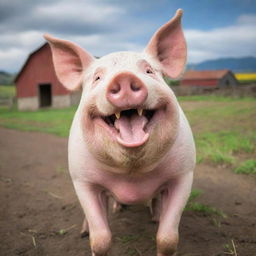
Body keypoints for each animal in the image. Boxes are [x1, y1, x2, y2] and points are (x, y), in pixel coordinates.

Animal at [44, 8, 196, 256]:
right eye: (97, 77)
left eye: (149, 71)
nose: (124, 77)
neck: (132, 175)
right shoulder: (82, 179)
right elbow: (100, 239)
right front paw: (90, 235)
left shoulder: (183, 174)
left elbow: (168, 238)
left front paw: (160, 226)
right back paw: (98, 221)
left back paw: (154, 217)